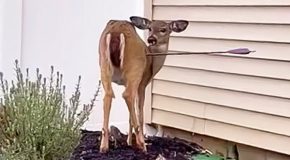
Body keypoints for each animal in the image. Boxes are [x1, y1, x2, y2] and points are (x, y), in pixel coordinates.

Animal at [98, 16, 189, 152]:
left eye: (163, 29)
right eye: (150, 28)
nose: (151, 39)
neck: (153, 62)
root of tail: (116, 31)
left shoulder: (126, 82)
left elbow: (130, 116)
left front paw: (129, 141)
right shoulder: (142, 83)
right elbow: (139, 113)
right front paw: (136, 140)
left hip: (104, 65)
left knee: (108, 95)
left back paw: (104, 146)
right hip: (135, 67)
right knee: (127, 95)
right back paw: (142, 144)